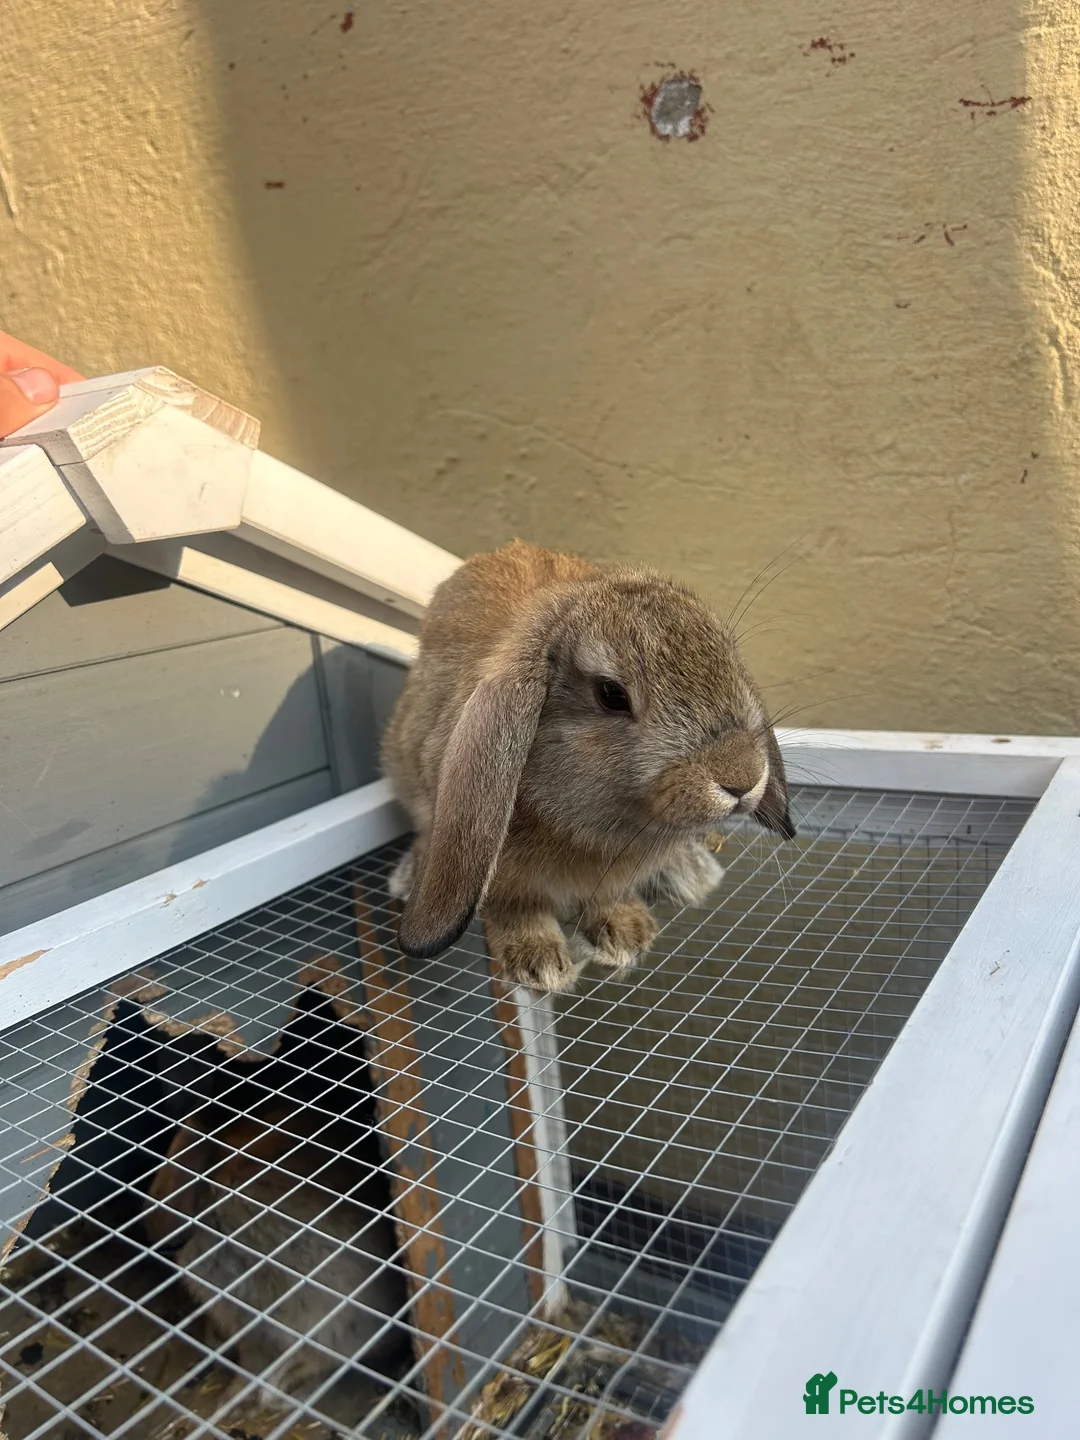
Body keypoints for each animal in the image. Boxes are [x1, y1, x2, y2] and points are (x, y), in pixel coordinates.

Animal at [381, 539, 795, 993]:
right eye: (611, 694)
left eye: (731, 665)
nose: (742, 778)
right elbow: (513, 905)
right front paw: (538, 961)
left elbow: (607, 898)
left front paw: (628, 931)